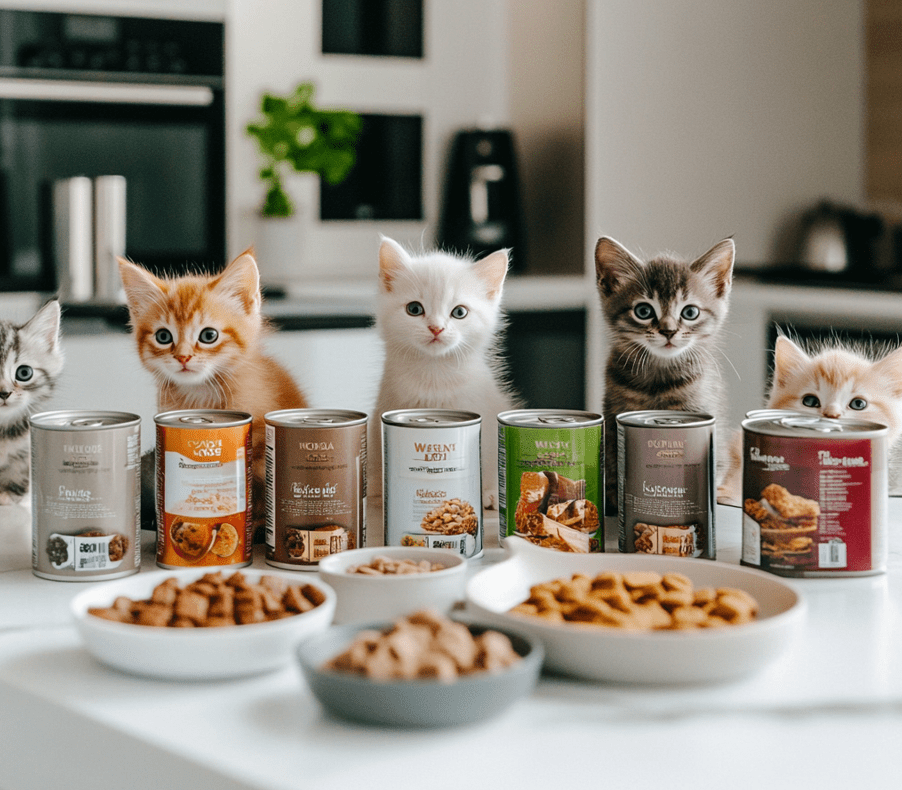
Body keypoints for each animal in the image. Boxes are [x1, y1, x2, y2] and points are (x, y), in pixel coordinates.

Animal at [370, 238, 524, 540]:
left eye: (459, 312)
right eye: (414, 309)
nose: (436, 328)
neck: (435, 373)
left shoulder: (484, 410)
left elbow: (485, 453)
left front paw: (487, 492)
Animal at [596, 238, 740, 516]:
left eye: (690, 312)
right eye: (643, 311)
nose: (669, 331)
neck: (657, 380)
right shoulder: (613, 409)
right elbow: (611, 455)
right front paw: (613, 498)